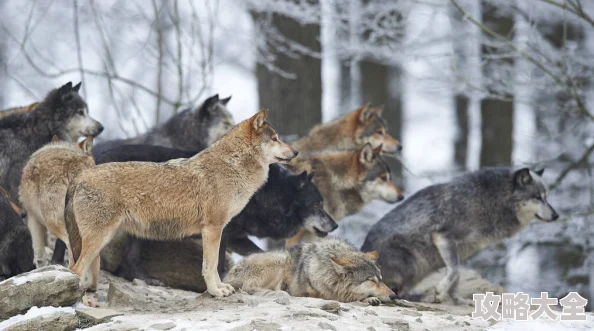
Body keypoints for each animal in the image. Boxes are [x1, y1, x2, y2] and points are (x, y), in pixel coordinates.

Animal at [65, 110, 298, 300]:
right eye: (275, 139)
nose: (295, 152)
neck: (232, 166)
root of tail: (80, 176)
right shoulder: (213, 230)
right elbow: (210, 266)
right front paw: (215, 292)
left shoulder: (218, 232)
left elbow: (215, 267)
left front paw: (221, 288)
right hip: (98, 240)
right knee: (75, 270)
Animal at [222, 239, 394, 306]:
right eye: (372, 280)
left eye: (381, 279)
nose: (393, 295)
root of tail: (226, 276)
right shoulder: (320, 294)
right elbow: (346, 297)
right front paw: (368, 299)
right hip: (279, 261)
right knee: (248, 287)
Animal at [358, 167, 556, 304]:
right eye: (538, 197)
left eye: (547, 197)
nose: (556, 215)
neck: (488, 200)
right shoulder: (443, 237)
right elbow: (454, 270)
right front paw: (440, 292)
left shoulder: (460, 249)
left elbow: (457, 275)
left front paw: (456, 299)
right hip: (412, 263)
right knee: (399, 292)